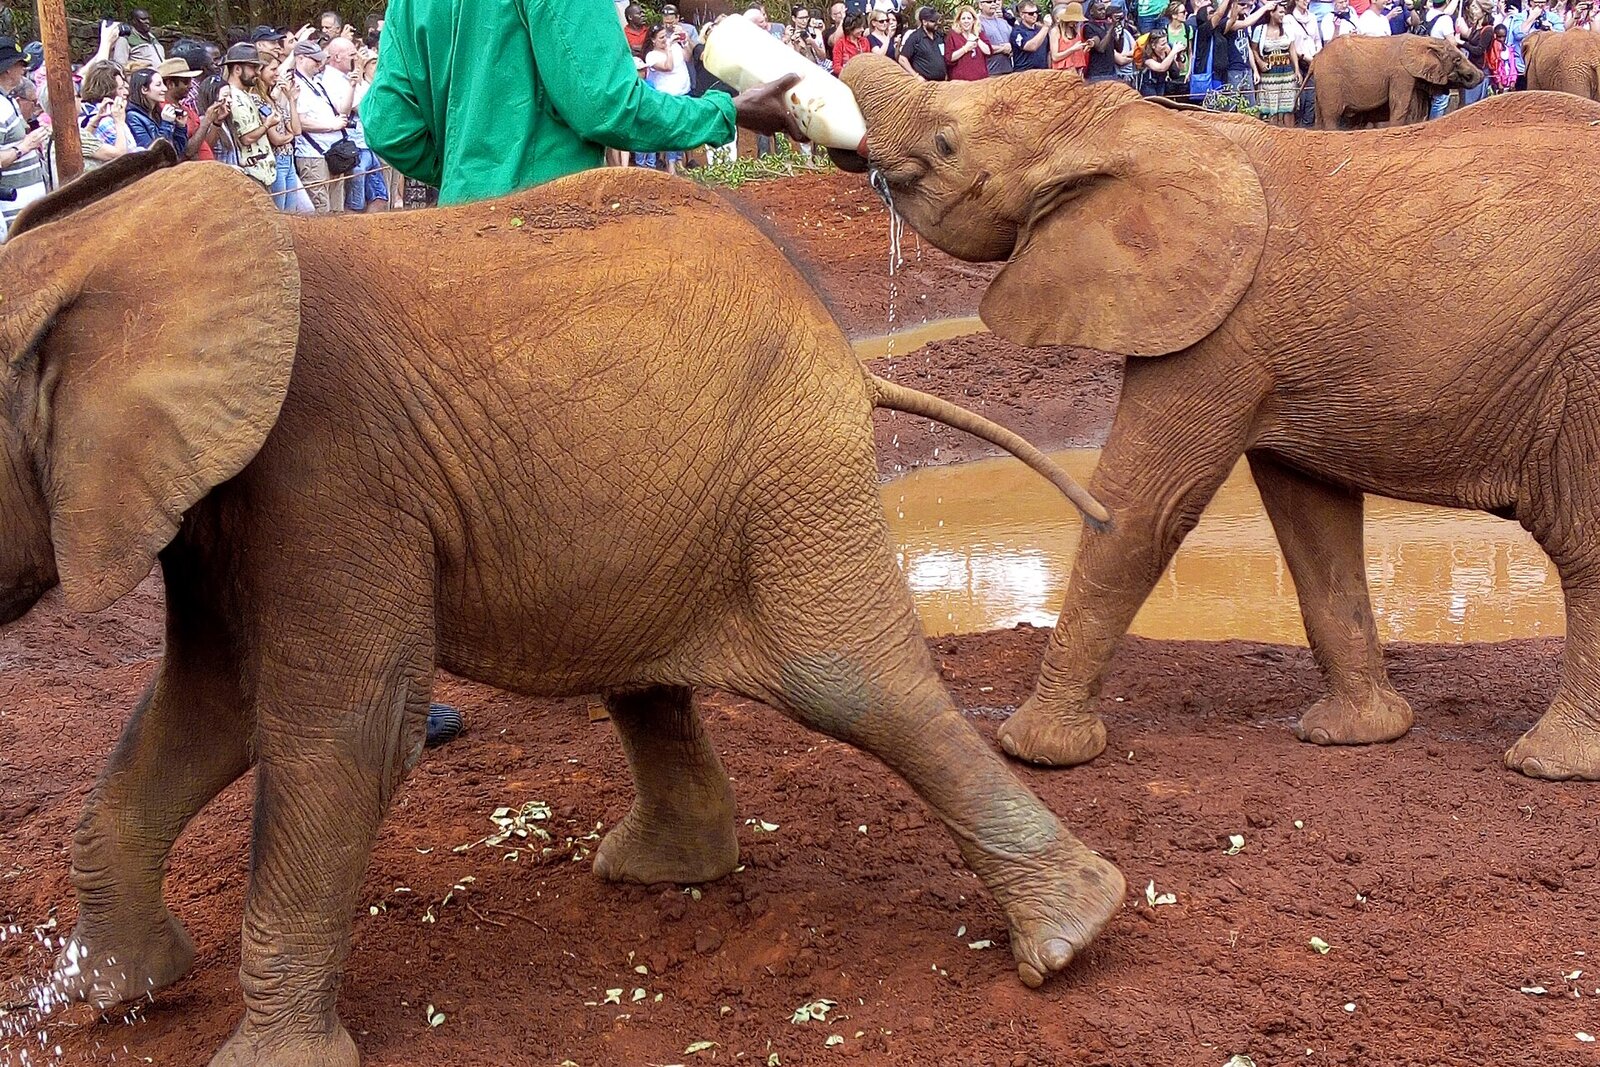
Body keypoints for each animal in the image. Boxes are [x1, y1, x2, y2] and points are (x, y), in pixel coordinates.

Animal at [0, 145, 1122, 1066]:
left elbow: (343, 732)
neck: (99, 249)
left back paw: (1073, 935)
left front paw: (253, 1055)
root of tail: (845, 350)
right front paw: (120, 993)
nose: (47, 1004)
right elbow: (208, 710)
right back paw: (659, 872)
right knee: (655, 683)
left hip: (792, 476)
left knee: (857, 686)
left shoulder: (328, 473)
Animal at [838, 55, 1600, 781]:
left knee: (1584, 545)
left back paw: (1549, 764)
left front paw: (1034, 751)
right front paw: (1353, 735)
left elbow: (1142, 508)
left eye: (946, 142)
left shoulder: (1218, 331)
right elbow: (1311, 521)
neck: (1135, 124)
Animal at [1310, 33, 1484, 127]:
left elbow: (1419, 111)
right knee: (1332, 117)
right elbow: (1399, 106)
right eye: (1457, 60)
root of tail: (1315, 59)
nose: (1482, 75)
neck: (1423, 40)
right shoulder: (1401, 74)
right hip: (1330, 80)